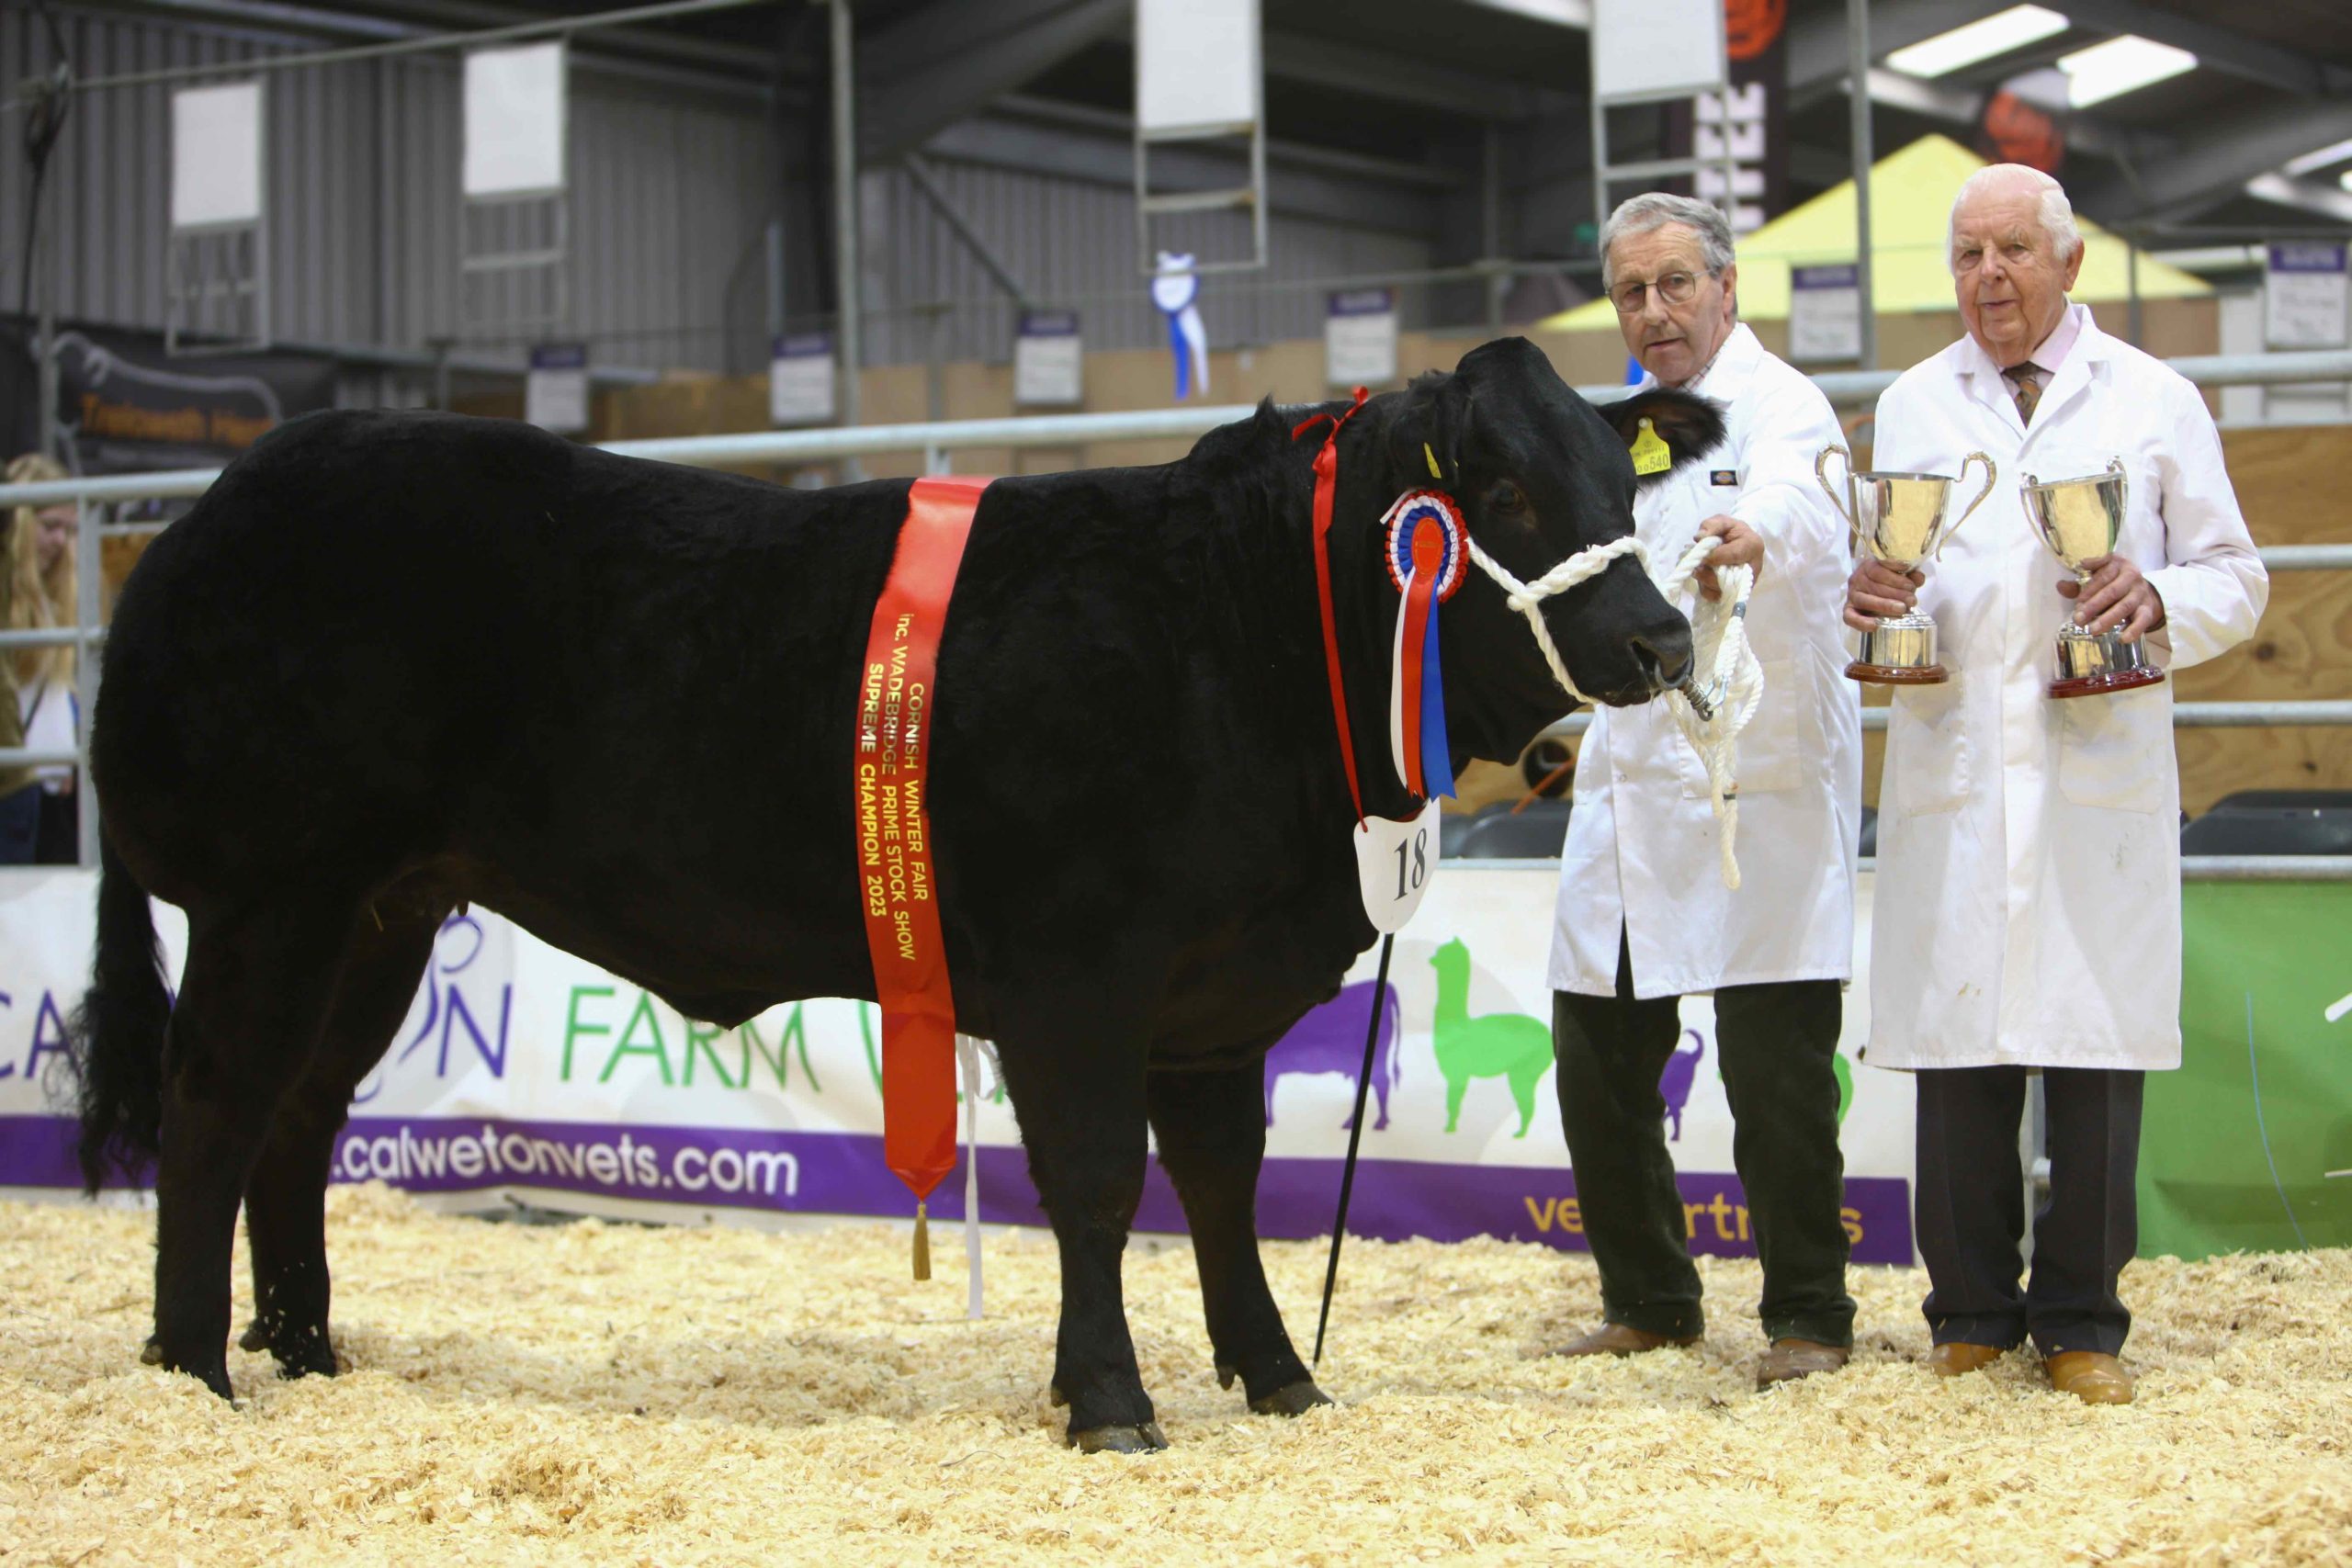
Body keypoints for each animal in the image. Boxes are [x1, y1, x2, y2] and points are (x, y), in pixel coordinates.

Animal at [68, 338, 1731, 1457]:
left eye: (1620, 480)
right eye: (1502, 485)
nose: (1660, 640)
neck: (1248, 631)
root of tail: (209, 512)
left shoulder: (1210, 994)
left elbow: (1219, 1185)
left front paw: (1275, 1374)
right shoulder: (1080, 969)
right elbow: (1097, 1184)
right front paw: (1110, 1400)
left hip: (382, 911)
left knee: (296, 1116)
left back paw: (304, 1348)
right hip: (274, 893)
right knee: (214, 1105)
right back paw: (193, 1369)